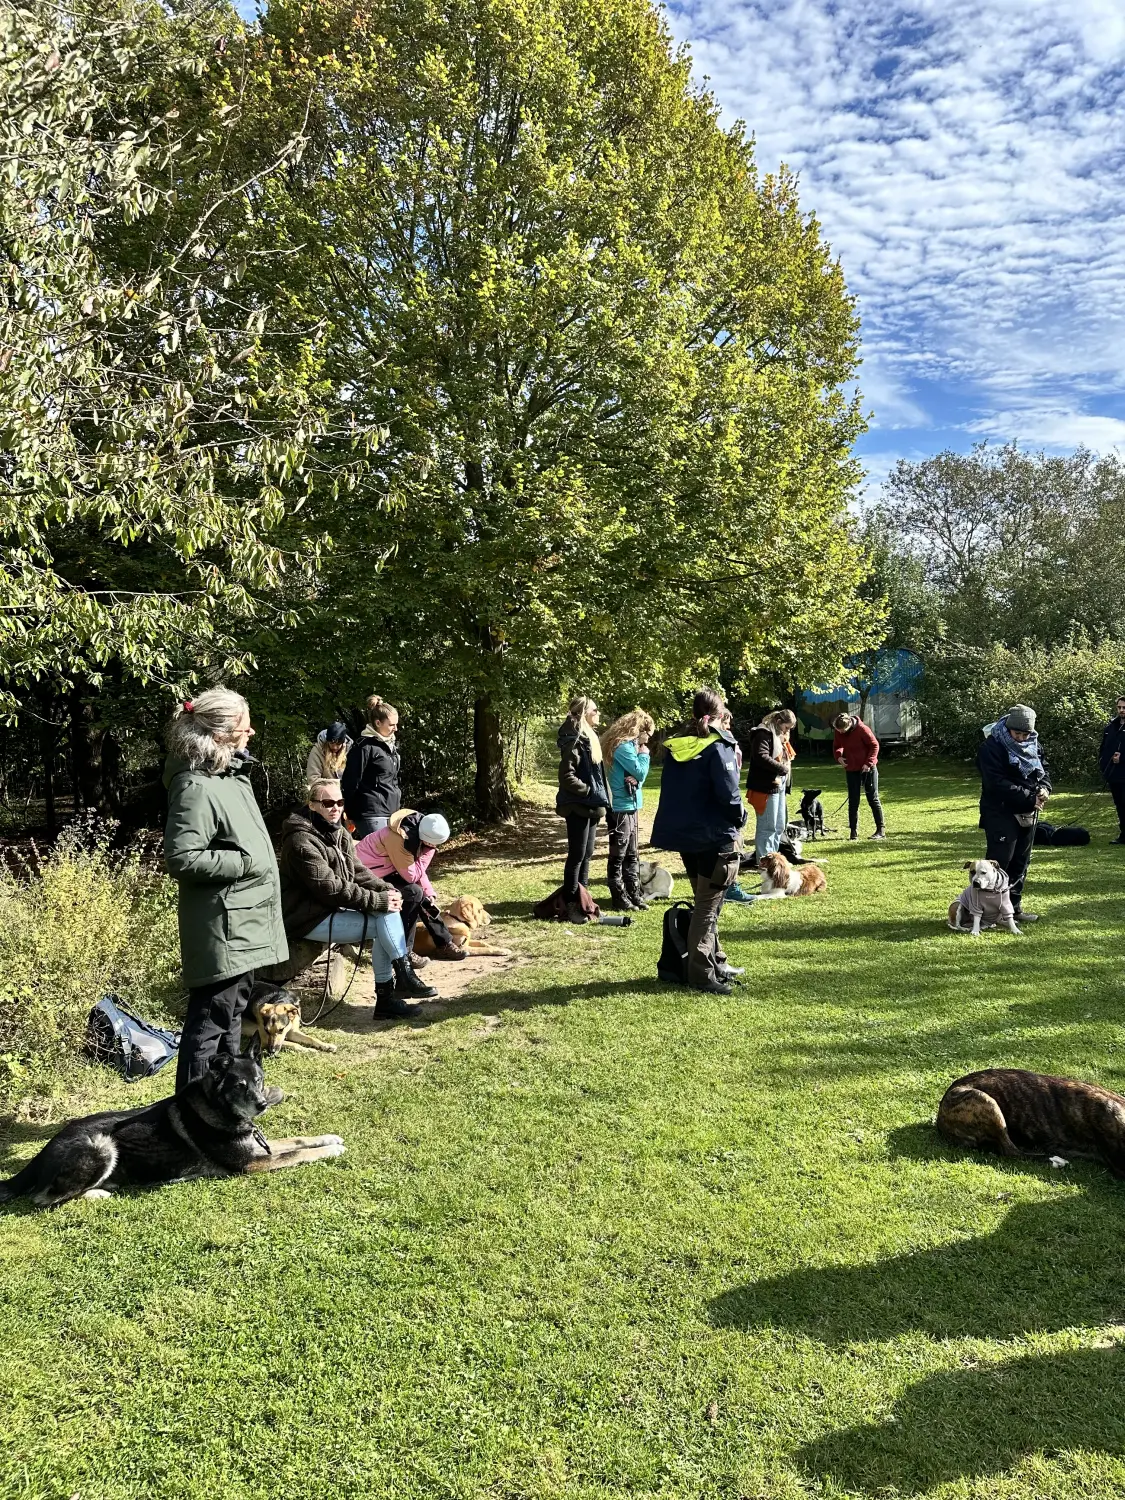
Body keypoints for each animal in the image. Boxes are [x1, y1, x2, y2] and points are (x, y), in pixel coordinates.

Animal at [0, 1038, 343, 1212]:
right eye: (240, 1085)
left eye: (258, 1081)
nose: (262, 1104)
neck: (218, 1108)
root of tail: (43, 1152)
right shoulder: (250, 1165)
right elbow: (297, 1154)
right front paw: (331, 1152)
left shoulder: (259, 1148)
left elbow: (297, 1140)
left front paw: (330, 1137)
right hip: (102, 1145)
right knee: (42, 1198)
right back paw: (98, 1194)